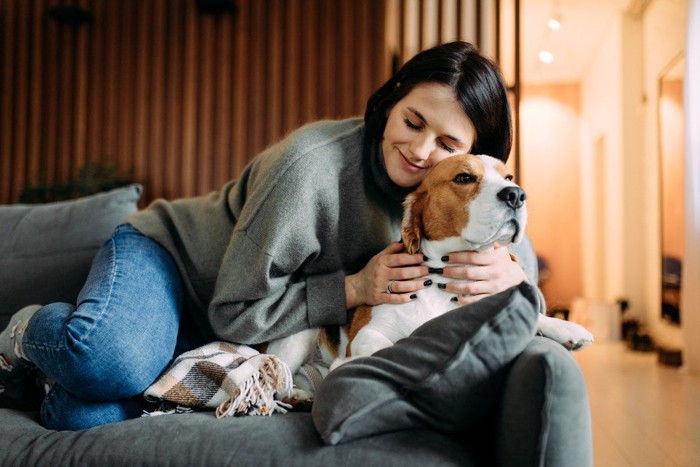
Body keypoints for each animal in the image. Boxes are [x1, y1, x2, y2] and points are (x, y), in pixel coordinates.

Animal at [268, 153, 592, 402]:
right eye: (464, 178)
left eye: (509, 176)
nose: (516, 194)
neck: (440, 280)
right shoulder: (367, 333)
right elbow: (387, 346)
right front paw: (345, 364)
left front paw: (566, 327)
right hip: (299, 336)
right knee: (278, 374)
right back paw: (296, 394)